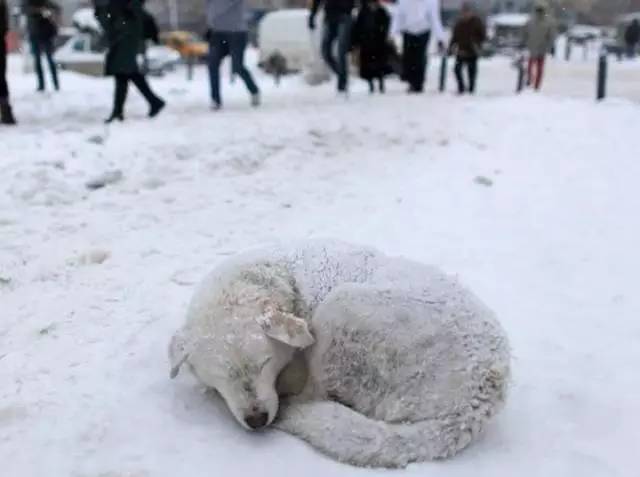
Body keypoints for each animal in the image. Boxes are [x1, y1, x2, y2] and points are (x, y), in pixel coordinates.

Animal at [169, 240, 510, 466]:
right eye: (222, 376)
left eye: (264, 363)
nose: (257, 419)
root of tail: (476, 402)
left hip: (341, 308)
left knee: (315, 394)